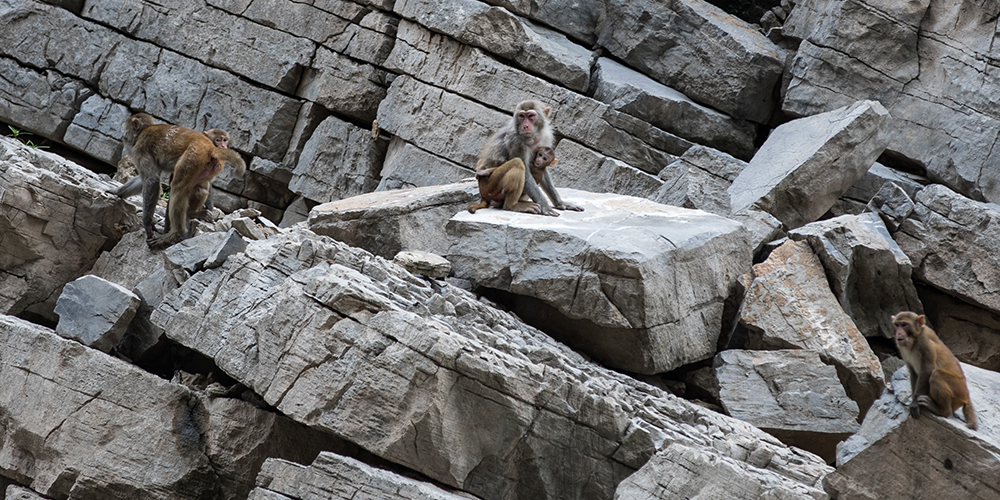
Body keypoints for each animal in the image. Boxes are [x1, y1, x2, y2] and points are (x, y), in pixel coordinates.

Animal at [112, 112, 245, 248]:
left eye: (125, 133)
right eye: (219, 139)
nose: (123, 138)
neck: (144, 131)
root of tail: (210, 148)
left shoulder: (140, 148)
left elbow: (152, 180)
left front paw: (148, 224)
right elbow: (146, 179)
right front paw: (117, 192)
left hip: (192, 158)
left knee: (178, 188)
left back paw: (175, 233)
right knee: (198, 188)